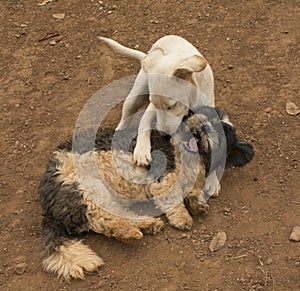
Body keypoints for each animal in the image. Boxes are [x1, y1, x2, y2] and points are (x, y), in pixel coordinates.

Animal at [37, 107, 253, 280]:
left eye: (221, 131)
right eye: (204, 114)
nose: (202, 127)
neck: (190, 155)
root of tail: (49, 211)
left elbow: (193, 191)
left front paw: (197, 202)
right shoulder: (161, 178)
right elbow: (173, 198)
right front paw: (182, 217)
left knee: (112, 217)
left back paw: (147, 224)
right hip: (88, 189)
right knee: (103, 220)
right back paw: (131, 231)